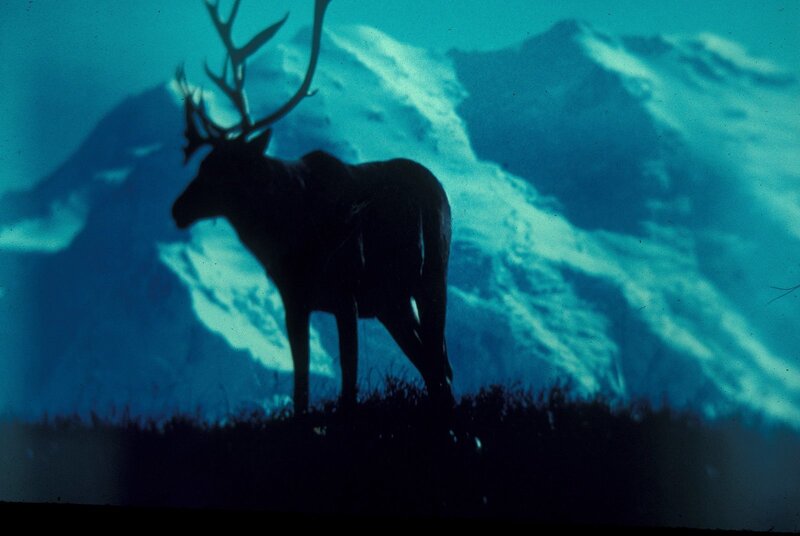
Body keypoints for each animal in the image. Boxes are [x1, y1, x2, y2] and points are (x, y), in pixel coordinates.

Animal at [171, 0, 455, 414]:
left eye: (224, 170)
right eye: (202, 164)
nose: (178, 209)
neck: (284, 234)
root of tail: (439, 188)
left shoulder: (346, 296)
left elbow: (348, 387)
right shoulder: (296, 302)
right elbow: (300, 391)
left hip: (430, 279)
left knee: (440, 368)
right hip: (393, 303)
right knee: (436, 371)